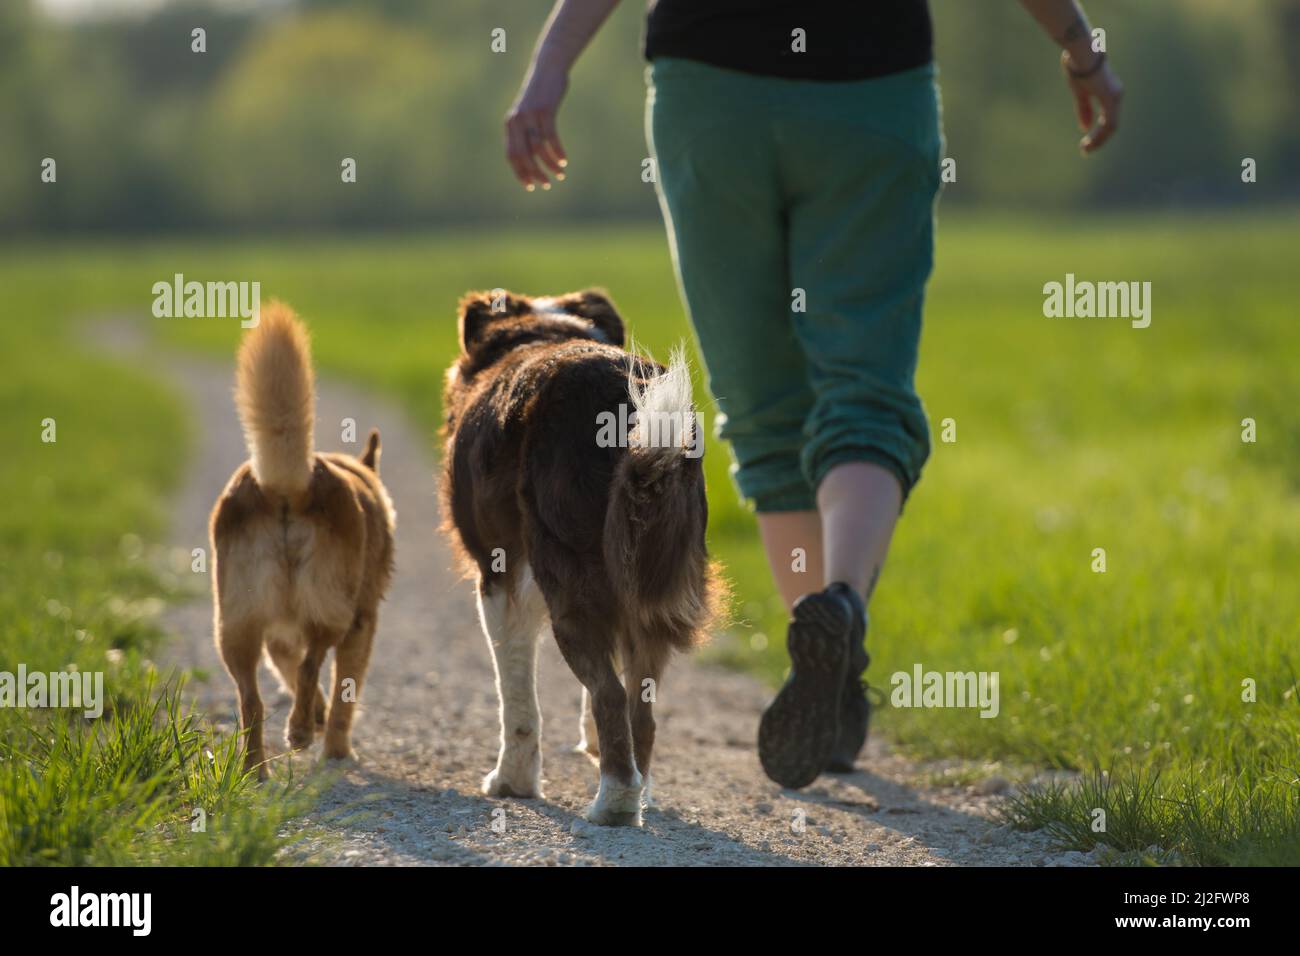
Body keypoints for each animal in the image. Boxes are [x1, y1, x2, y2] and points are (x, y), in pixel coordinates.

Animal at [210, 303, 392, 780]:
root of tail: (287, 486)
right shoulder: (362, 624)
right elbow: (343, 692)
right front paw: (337, 747)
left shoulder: (278, 638)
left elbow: (290, 674)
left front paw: (318, 717)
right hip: (335, 613)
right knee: (313, 664)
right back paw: (300, 734)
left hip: (234, 628)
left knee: (251, 702)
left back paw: (256, 769)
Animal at [439, 287, 722, 827]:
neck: (546, 332)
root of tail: (622, 397)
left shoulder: (499, 576)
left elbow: (517, 695)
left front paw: (513, 782)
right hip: (650, 584)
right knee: (640, 708)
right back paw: (636, 791)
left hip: (569, 584)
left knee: (611, 695)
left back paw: (614, 803)